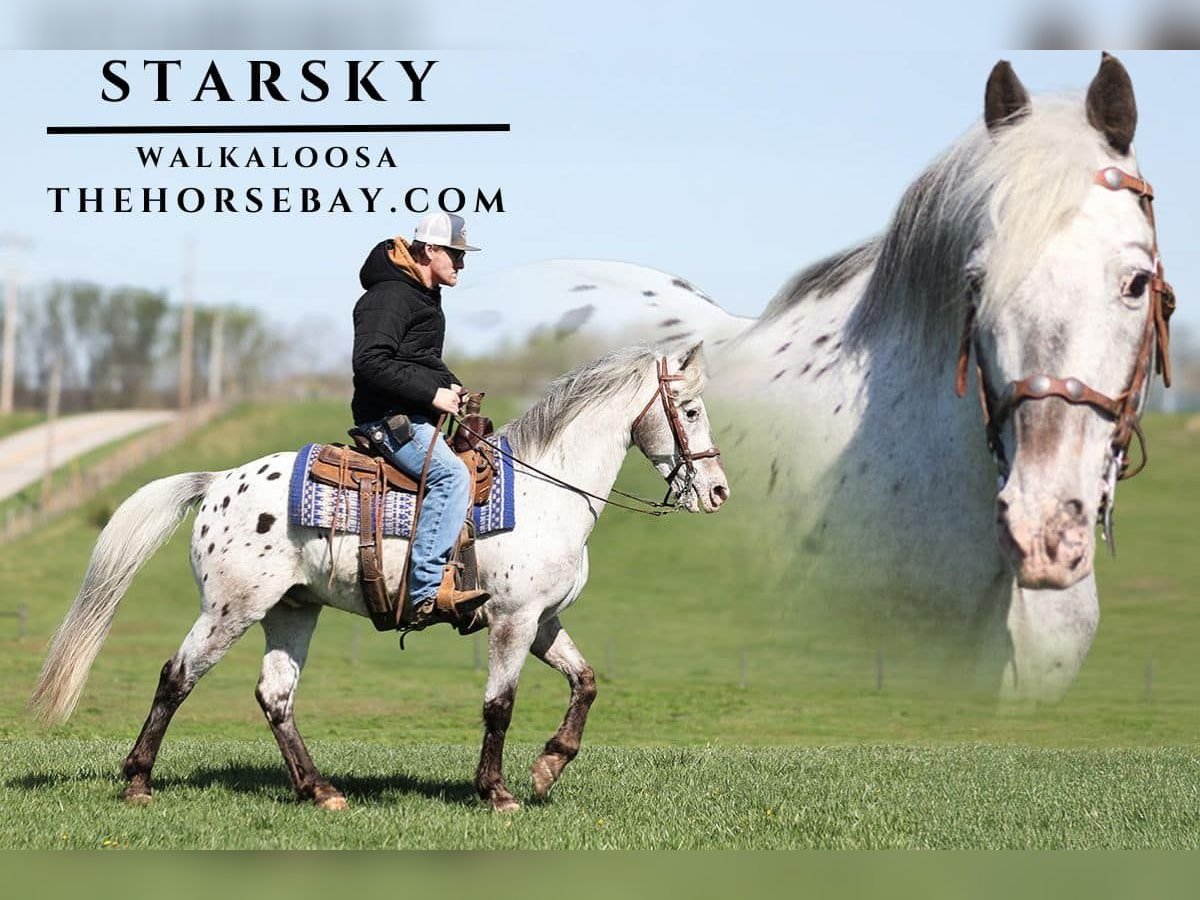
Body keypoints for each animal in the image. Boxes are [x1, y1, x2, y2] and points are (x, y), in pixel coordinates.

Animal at [31, 342, 729, 811]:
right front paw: (497, 792)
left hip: (292, 610)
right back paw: (138, 781)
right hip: (230, 610)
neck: (543, 491)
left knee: (275, 696)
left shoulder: (542, 620)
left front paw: (547, 769)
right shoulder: (512, 620)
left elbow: (586, 683)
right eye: (691, 409)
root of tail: (217, 482)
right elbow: (499, 705)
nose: (718, 491)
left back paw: (320, 791)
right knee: (177, 678)